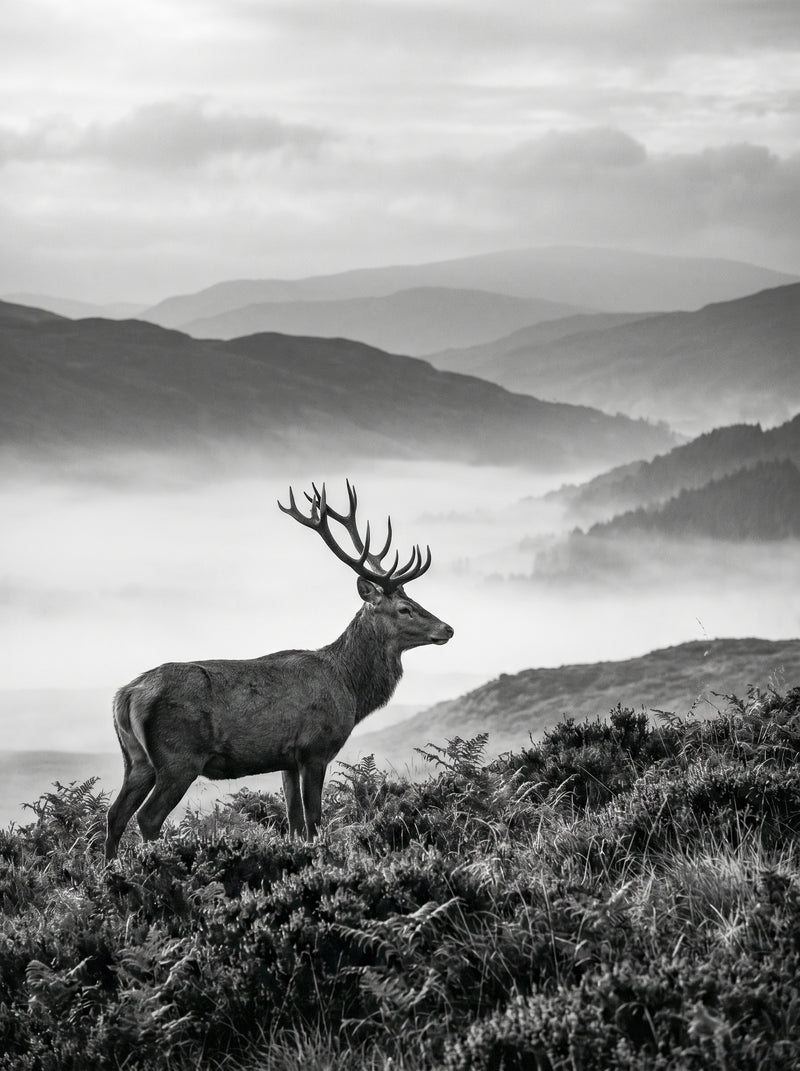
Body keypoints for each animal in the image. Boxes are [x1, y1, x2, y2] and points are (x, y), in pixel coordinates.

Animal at [104, 481, 453, 859]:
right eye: (405, 608)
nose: (448, 629)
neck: (350, 687)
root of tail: (126, 695)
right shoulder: (315, 748)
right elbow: (314, 819)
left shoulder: (286, 759)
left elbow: (294, 821)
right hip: (178, 757)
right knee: (148, 817)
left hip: (135, 759)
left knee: (115, 814)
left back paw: (110, 867)